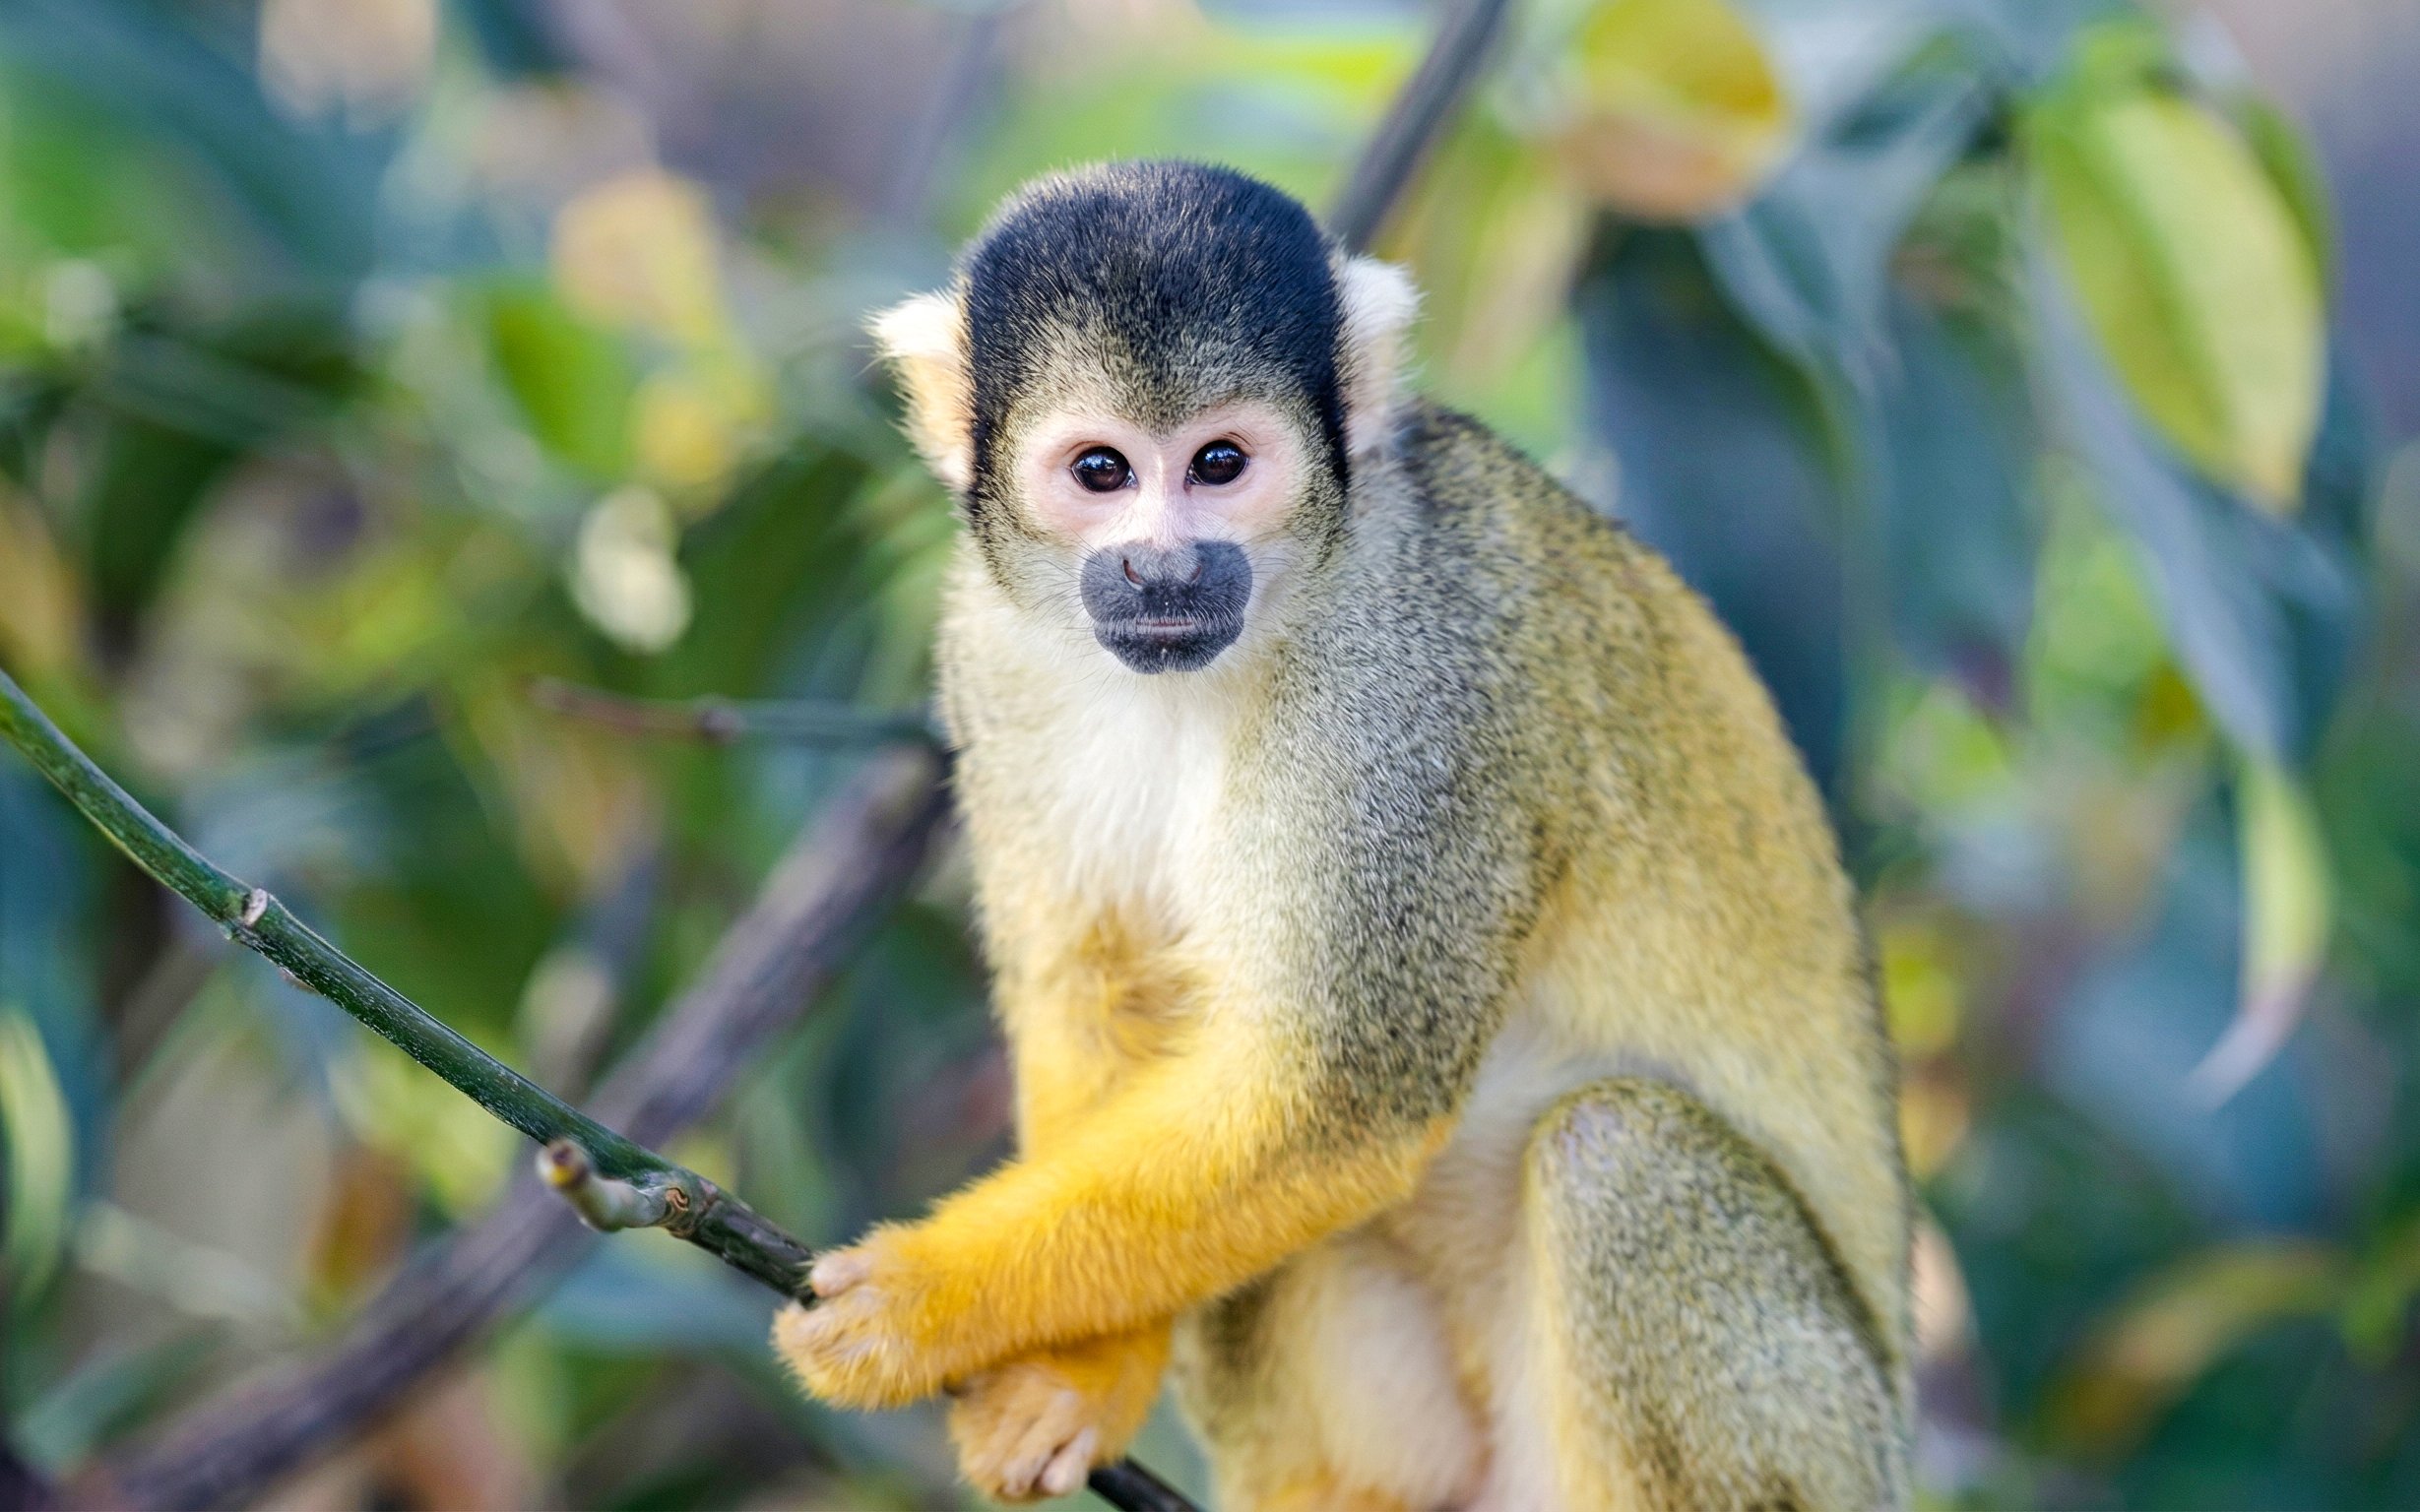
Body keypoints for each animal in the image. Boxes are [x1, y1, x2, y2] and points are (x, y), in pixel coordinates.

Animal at [774, 160, 1911, 1511]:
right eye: (1101, 472)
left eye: (1219, 463)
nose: (1163, 570)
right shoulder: (987, 648)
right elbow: (1098, 995)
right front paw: (1082, 1377)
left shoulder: (1414, 684)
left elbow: (1339, 1100)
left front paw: (918, 1304)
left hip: (1824, 1438)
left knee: (1618, 1156)